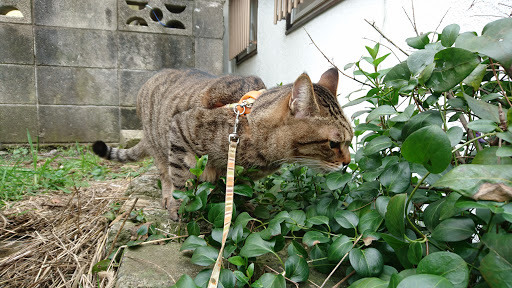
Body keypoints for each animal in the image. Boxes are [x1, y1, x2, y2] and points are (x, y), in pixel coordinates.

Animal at [93, 68, 352, 220]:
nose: (348, 163)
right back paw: (169, 197)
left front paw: (243, 206)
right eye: (333, 143)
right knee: (165, 173)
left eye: (350, 141)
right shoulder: (180, 129)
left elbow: (239, 189)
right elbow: (180, 181)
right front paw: (181, 206)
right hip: (159, 141)